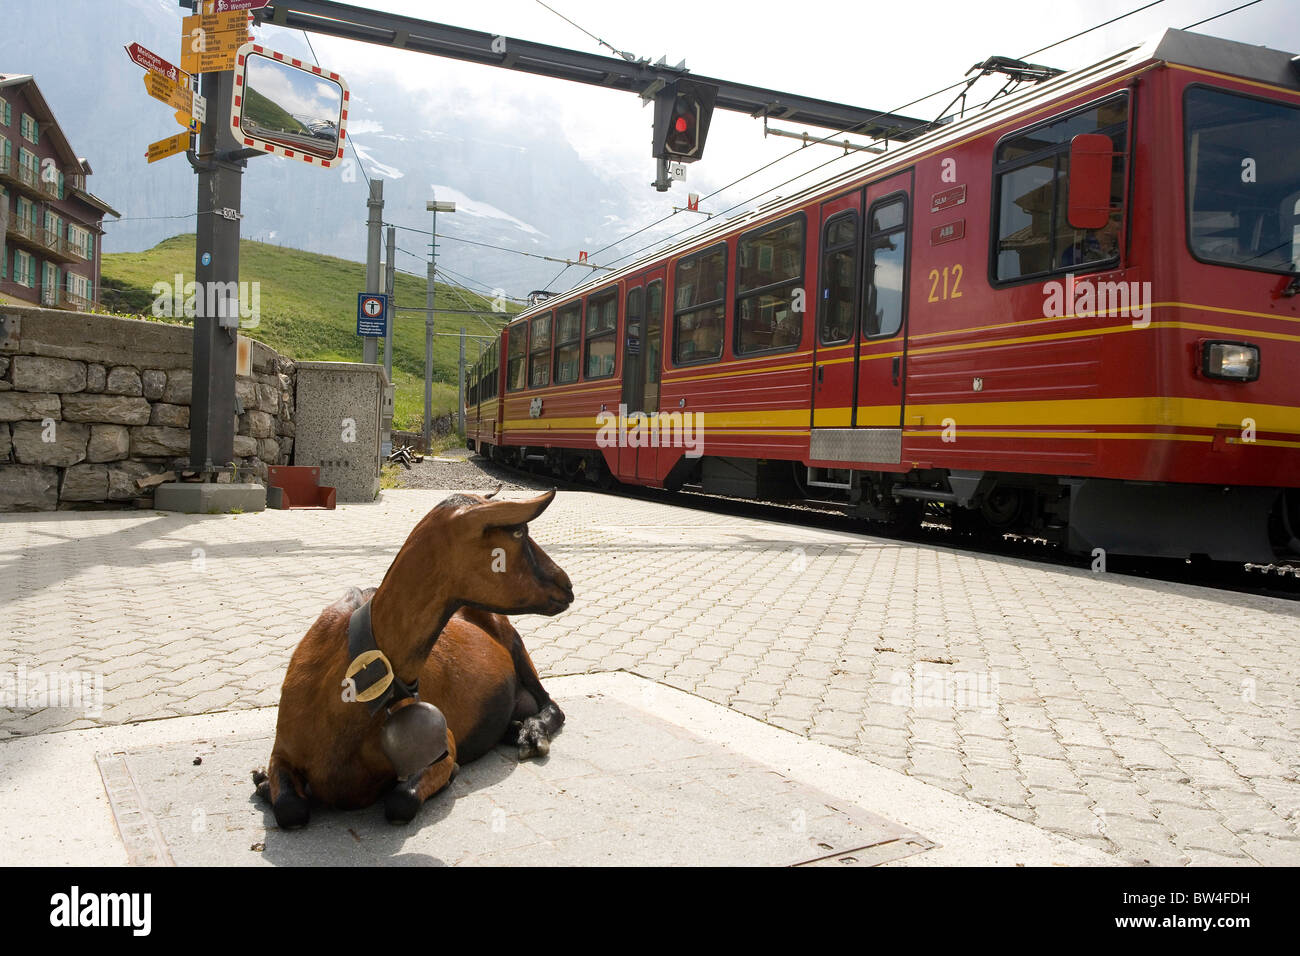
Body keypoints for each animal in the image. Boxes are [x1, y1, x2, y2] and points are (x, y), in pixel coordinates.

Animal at [253, 489, 574, 827]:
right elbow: (290, 809)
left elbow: (401, 801)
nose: (567, 585)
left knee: (551, 703)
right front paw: (263, 780)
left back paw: (531, 733)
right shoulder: (282, 751)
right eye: (519, 532)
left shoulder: (444, 746)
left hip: (513, 641)